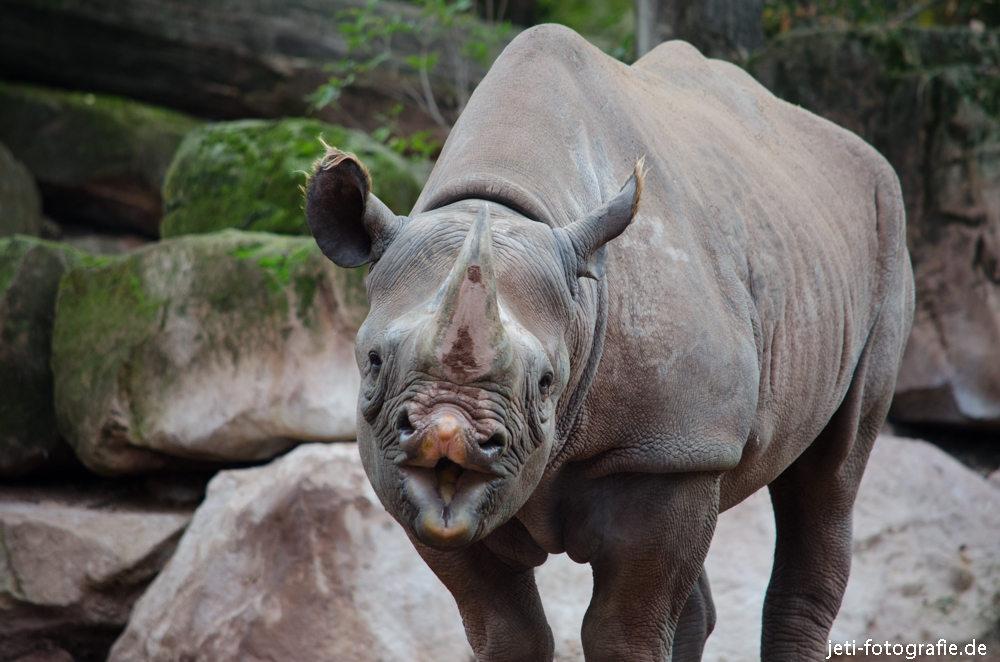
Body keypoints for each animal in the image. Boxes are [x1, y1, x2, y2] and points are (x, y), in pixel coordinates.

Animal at [302, 23, 916, 662]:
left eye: (547, 381)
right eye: (373, 361)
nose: (448, 437)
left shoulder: (669, 452)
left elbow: (623, 631)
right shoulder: (413, 488)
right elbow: (504, 629)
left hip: (884, 234)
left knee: (831, 473)